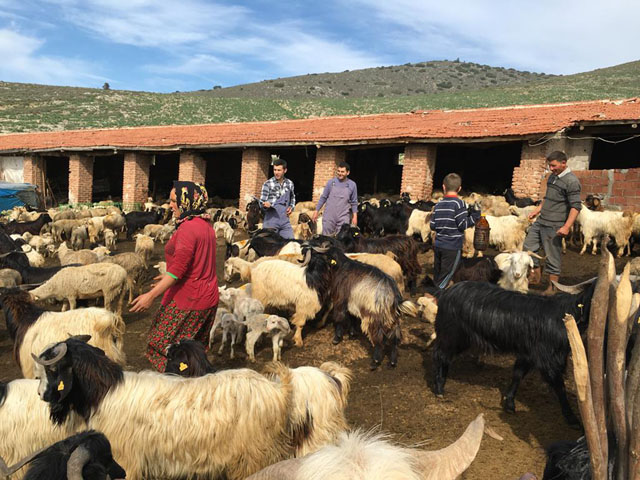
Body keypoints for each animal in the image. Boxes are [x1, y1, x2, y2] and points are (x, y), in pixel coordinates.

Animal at [33, 338, 352, 480]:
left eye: (52, 369)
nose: (40, 395)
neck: (105, 393)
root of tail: (279, 390)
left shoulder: (126, 461)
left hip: (253, 458)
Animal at [432, 280, 596, 426]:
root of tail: (446, 293)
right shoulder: (547, 358)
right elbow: (559, 386)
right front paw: (572, 418)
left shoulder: (528, 354)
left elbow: (518, 374)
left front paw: (509, 403)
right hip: (453, 335)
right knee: (440, 354)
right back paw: (439, 387)